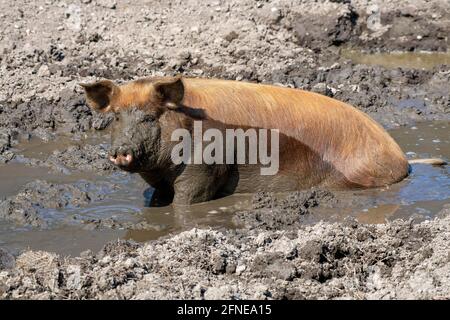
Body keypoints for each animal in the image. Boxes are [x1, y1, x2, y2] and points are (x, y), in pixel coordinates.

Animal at [81, 76, 446, 204]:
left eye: (149, 116)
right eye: (116, 117)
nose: (120, 152)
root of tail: (403, 160)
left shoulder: (206, 168)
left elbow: (187, 200)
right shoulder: (160, 183)